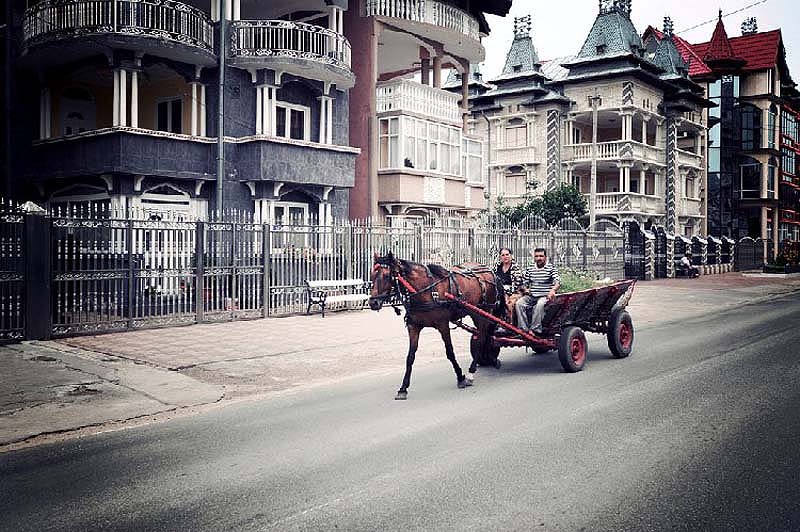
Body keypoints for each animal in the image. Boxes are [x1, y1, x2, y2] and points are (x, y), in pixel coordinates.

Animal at [368, 252, 504, 400]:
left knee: (482, 336)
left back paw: (471, 371)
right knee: (485, 335)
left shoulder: (443, 325)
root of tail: (488, 270)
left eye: (387, 276)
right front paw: (403, 388)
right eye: (372, 275)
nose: (373, 302)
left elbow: (450, 352)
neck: (426, 290)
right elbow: (410, 357)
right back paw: (490, 359)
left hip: (482, 311)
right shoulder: (413, 326)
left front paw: (460, 377)